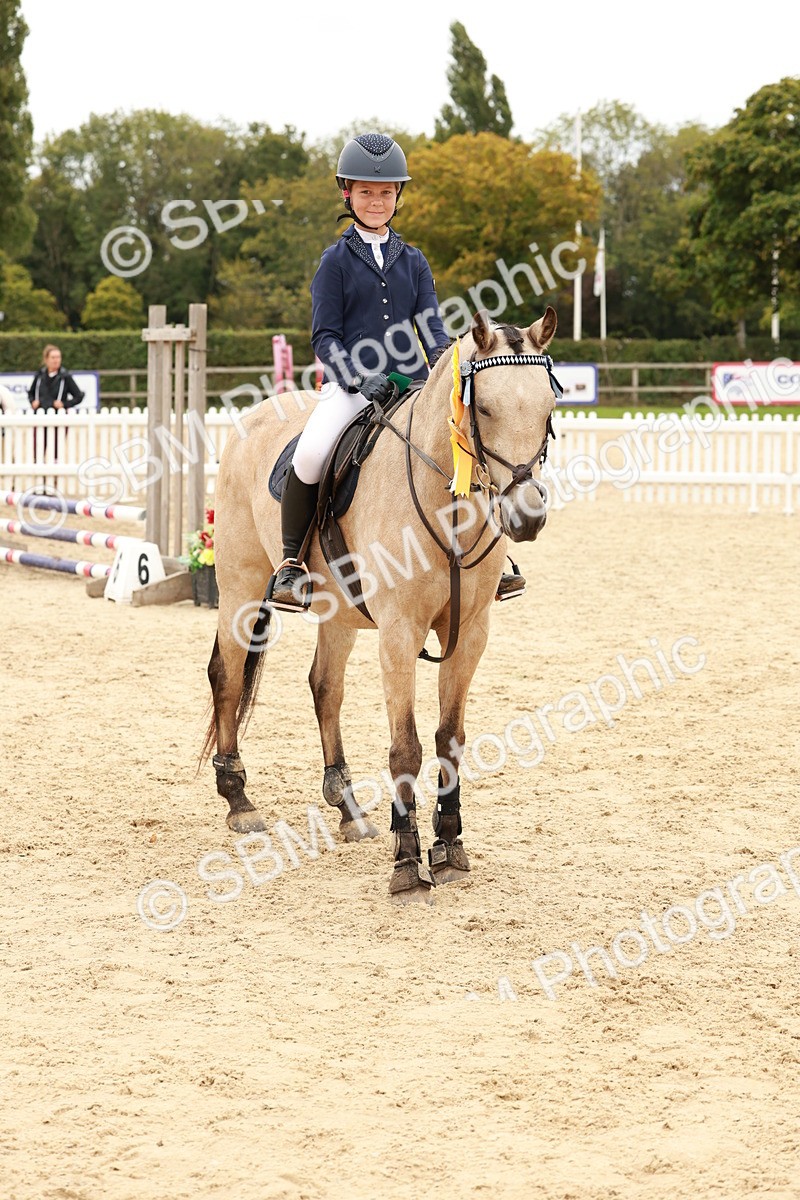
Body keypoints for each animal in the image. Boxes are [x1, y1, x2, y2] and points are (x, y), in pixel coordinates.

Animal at [201, 307, 559, 904]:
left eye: (549, 407)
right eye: (484, 407)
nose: (527, 518)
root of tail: (256, 414)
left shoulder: (470, 632)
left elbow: (450, 738)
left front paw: (449, 847)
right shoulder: (399, 632)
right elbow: (406, 748)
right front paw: (407, 864)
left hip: (339, 612)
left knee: (325, 688)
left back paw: (348, 809)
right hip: (239, 589)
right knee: (227, 676)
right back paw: (238, 800)